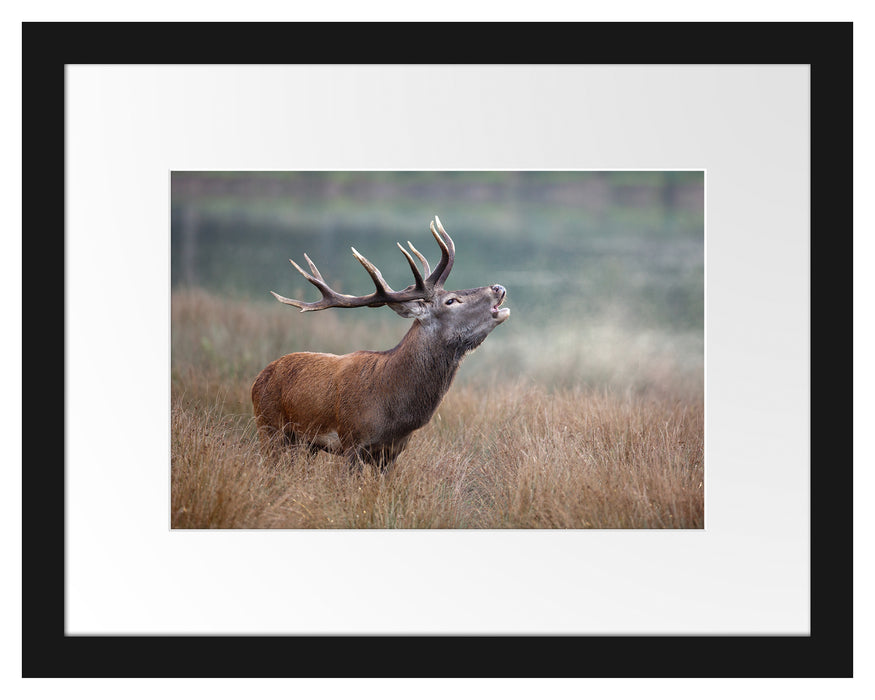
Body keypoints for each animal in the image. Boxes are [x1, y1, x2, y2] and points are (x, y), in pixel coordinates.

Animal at [251, 216, 510, 471]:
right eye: (451, 301)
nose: (498, 287)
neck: (394, 411)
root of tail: (258, 378)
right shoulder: (352, 440)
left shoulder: (392, 452)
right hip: (269, 426)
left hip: (306, 444)